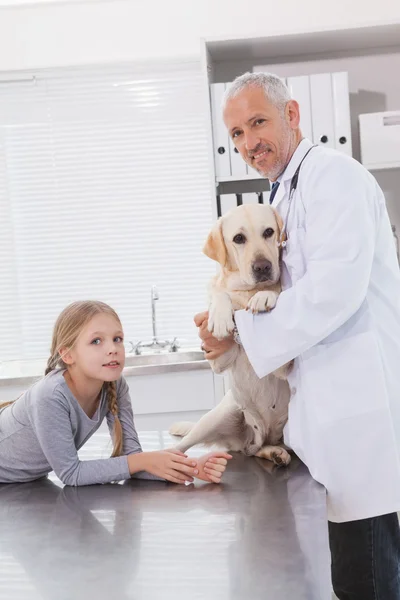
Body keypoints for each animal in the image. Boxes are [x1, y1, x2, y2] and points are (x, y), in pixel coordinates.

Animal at [170, 204, 292, 466]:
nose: (262, 267)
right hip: (218, 416)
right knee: (182, 446)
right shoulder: (219, 361)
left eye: (269, 232)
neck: (247, 292)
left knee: (256, 449)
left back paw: (275, 452)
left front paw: (265, 295)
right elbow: (220, 293)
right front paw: (220, 315)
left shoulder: (284, 366)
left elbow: (277, 291)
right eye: (238, 238)